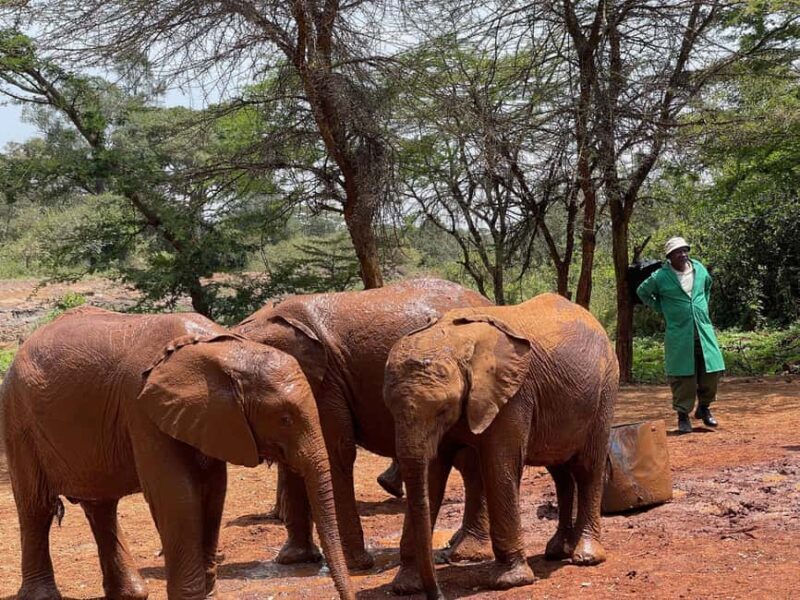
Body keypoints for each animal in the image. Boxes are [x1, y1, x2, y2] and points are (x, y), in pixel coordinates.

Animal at [0, 306, 354, 600]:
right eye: (284, 419)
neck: (221, 350)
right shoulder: (140, 408)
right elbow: (177, 495)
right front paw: (191, 595)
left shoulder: (211, 417)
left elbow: (213, 492)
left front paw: (208, 593)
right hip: (18, 420)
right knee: (36, 507)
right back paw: (42, 597)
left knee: (101, 507)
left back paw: (131, 594)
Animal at [233, 278, 494, 571]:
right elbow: (294, 458)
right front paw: (293, 559)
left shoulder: (326, 384)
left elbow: (335, 451)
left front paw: (354, 565)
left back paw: (465, 552)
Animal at [384, 293, 619, 598]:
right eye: (389, 409)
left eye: (443, 409)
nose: (438, 594)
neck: (456, 339)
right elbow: (432, 475)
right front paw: (404, 586)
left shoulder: (514, 396)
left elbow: (499, 466)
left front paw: (510, 581)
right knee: (560, 473)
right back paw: (556, 551)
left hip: (605, 391)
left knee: (587, 468)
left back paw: (586, 557)